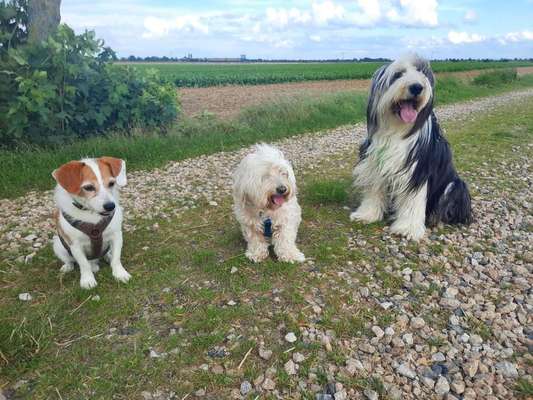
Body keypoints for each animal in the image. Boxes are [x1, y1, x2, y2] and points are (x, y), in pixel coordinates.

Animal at [52, 158, 131, 290]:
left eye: (111, 183)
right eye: (88, 187)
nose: (110, 206)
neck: (92, 215)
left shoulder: (117, 236)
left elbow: (116, 258)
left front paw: (119, 273)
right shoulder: (75, 245)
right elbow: (83, 264)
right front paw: (87, 279)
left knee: (107, 254)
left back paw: (108, 256)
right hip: (58, 245)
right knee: (70, 260)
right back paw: (68, 266)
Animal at [352, 53, 472, 241]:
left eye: (422, 73)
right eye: (398, 75)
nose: (416, 87)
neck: (397, 130)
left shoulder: (417, 171)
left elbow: (412, 201)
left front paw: (407, 228)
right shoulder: (374, 164)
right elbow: (374, 190)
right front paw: (367, 214)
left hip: (455, 186)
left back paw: (436, 219)